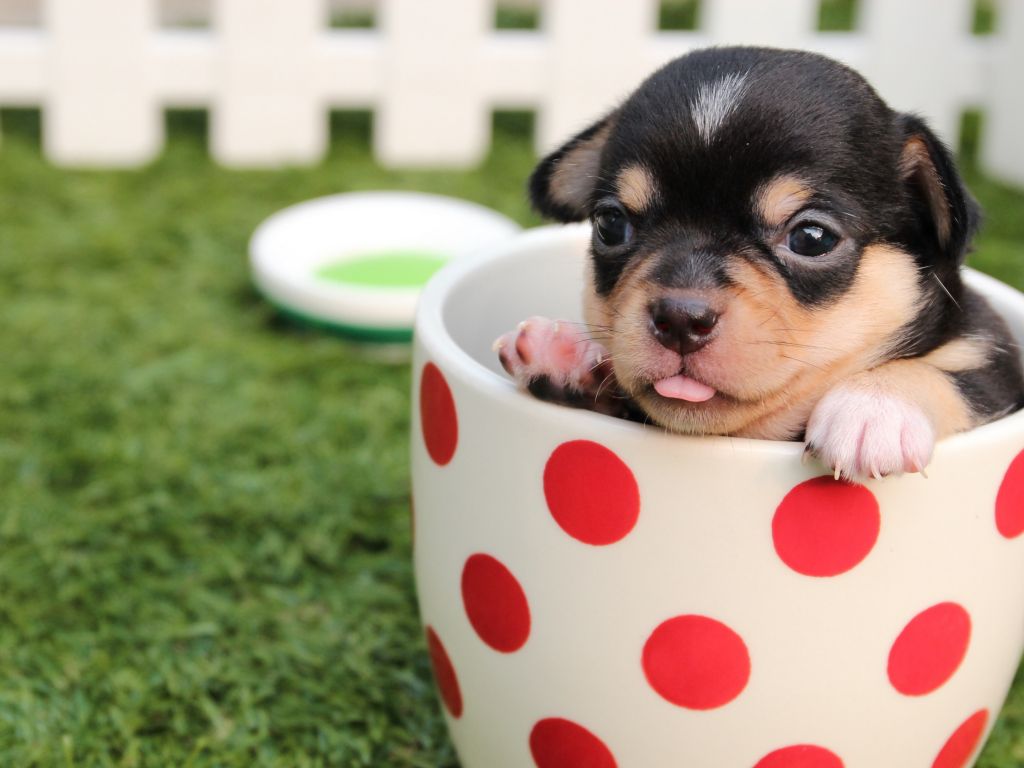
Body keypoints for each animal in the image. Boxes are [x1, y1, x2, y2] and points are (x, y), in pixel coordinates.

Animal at [495, 46, 1024, 481]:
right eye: (610, 225)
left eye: (811, 238)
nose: (679, 318)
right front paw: (565, 352)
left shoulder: (996, 366)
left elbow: (952, 375)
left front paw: (873, 407)